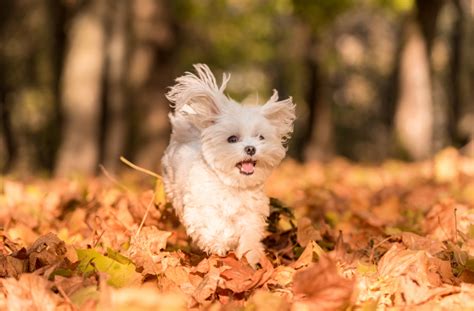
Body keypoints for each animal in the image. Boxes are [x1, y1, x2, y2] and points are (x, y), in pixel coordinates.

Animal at [163, 64, 296, 266]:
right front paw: (222, 242)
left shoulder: (251, 215)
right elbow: (215, 227)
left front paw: (250, 256)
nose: (251, 148)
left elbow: (249, 236)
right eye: (232, 139)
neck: (233, 184)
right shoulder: (201, 209)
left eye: (260, 137)